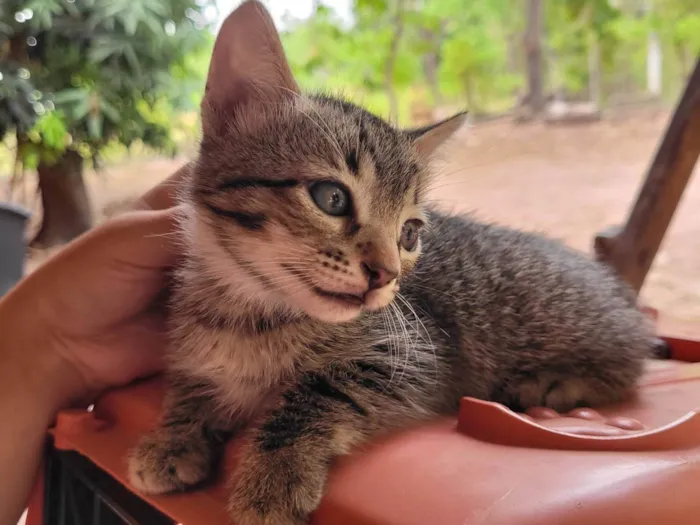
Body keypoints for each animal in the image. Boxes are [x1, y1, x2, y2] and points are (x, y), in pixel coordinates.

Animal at [127, 2, 656, 520]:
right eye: (331, 197)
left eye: (409, 232)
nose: (386, 275)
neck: (252, 312)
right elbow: (192, 386)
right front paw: (174, 436)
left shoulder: (417, 360)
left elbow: (321, 390)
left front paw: (273, 473)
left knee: (629, 363)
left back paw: (553, 382)